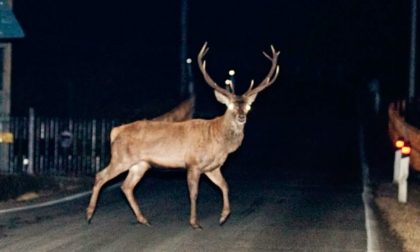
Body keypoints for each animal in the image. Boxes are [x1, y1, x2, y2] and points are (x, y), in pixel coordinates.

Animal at [85, 42, 278, 229]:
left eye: (248, 107)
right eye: (229, 106)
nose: (241, 117)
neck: (218, 140)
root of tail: (115, 131)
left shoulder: (212, 167)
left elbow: (225, 186)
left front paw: (223, 217)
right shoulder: (193, 163)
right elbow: (194, 193)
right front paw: (194, 222)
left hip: (140, 164)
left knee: (126, 186)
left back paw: (143, 219)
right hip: (121, 158)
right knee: (101, 176)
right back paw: (89, 214)